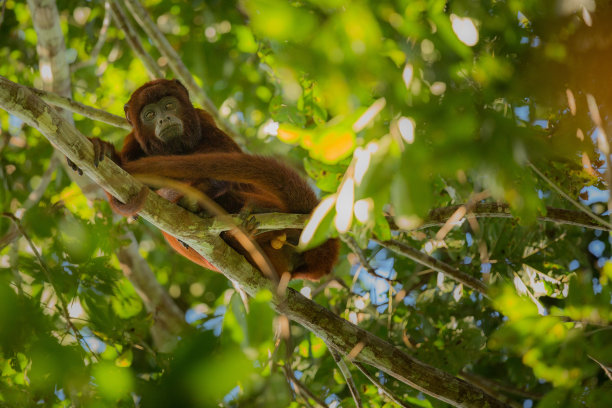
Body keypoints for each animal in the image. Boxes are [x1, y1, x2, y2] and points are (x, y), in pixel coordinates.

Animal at [78, 79, 338, 280]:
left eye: (169, 105)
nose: (164, 119)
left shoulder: (204, 118)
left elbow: (226, 157)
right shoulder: (133, 142)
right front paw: (107, 151)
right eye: (149, 115)